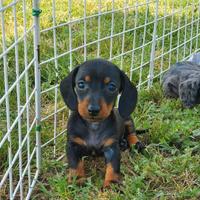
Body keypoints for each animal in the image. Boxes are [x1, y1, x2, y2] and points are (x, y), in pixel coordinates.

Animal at [59, 58, 144, 188]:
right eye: (81, 84)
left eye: (112, 87)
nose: (93, 110)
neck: (94, 126)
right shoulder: (72, 145)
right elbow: (75, 163)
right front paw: (77, 180)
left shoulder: (112, 149)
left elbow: (113, 167)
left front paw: (111, 184)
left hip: (127, 119)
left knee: (131, 133)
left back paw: (135, 143)